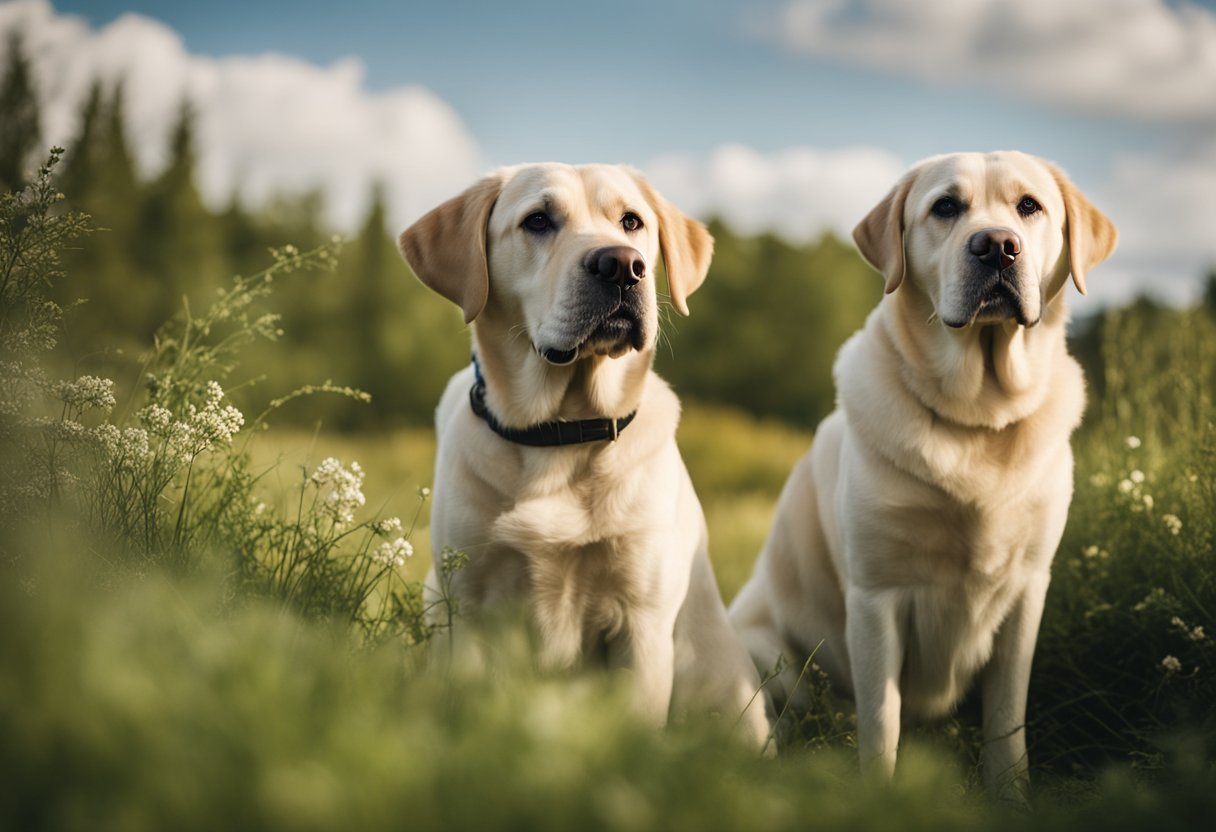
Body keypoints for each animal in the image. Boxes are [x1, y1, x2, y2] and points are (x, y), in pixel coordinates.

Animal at [396, 164, 768, 749]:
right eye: (537, 220)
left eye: (632, 222)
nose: (622, 265)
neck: (561, 433)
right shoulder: (468, 609)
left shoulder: (640, 622)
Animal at [724, 150, 1113, 797]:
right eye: (945, 207)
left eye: (1029, 206)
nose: (997, 246)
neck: (977, 417)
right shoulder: (876, 596)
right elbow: (882, 718)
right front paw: (880, 799)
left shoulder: (1028, 590)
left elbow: (1007, 718)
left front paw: (1010, 794)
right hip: (763, 657)